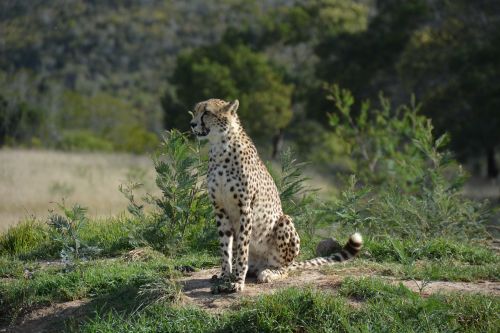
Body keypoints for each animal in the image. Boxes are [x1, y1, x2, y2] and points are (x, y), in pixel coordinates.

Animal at [189, 98, 362, 290]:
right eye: (196, 111)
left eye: (207, 112)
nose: (192, 124)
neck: (220, 146)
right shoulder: (220, 209)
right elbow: (226, 248)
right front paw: (225, 277)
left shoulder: (245, 208)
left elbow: (242, 248)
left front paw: (238, 281)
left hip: (284, 222)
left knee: (284, 267)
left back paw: (269, 273)